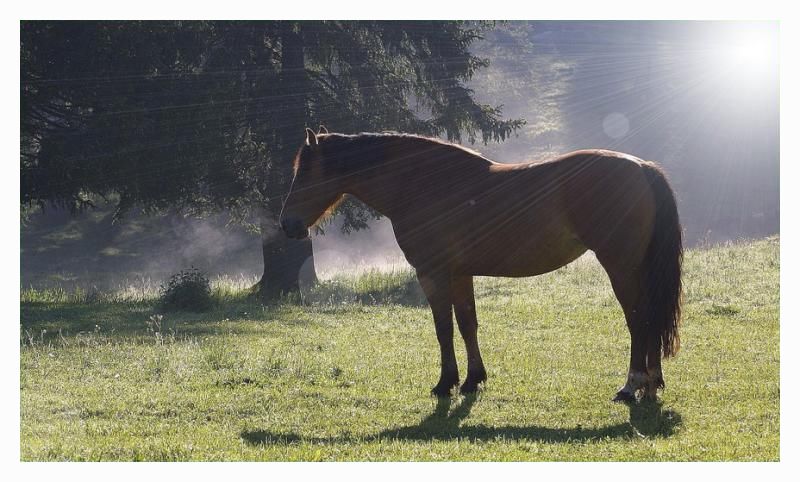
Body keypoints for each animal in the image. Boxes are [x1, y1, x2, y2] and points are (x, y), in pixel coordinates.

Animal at [282, 126, 680, 402]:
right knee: (650, 318)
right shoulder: (460, 274)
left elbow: (443, 328)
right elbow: (467, 325)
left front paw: (445, 383)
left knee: (638, 319)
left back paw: (631, 386)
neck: (421, 184)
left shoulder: (433, 273)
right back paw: (652, 384)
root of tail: (641, 167)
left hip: (621, 266)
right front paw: (473, 380)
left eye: (304, 174)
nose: (288, 225)